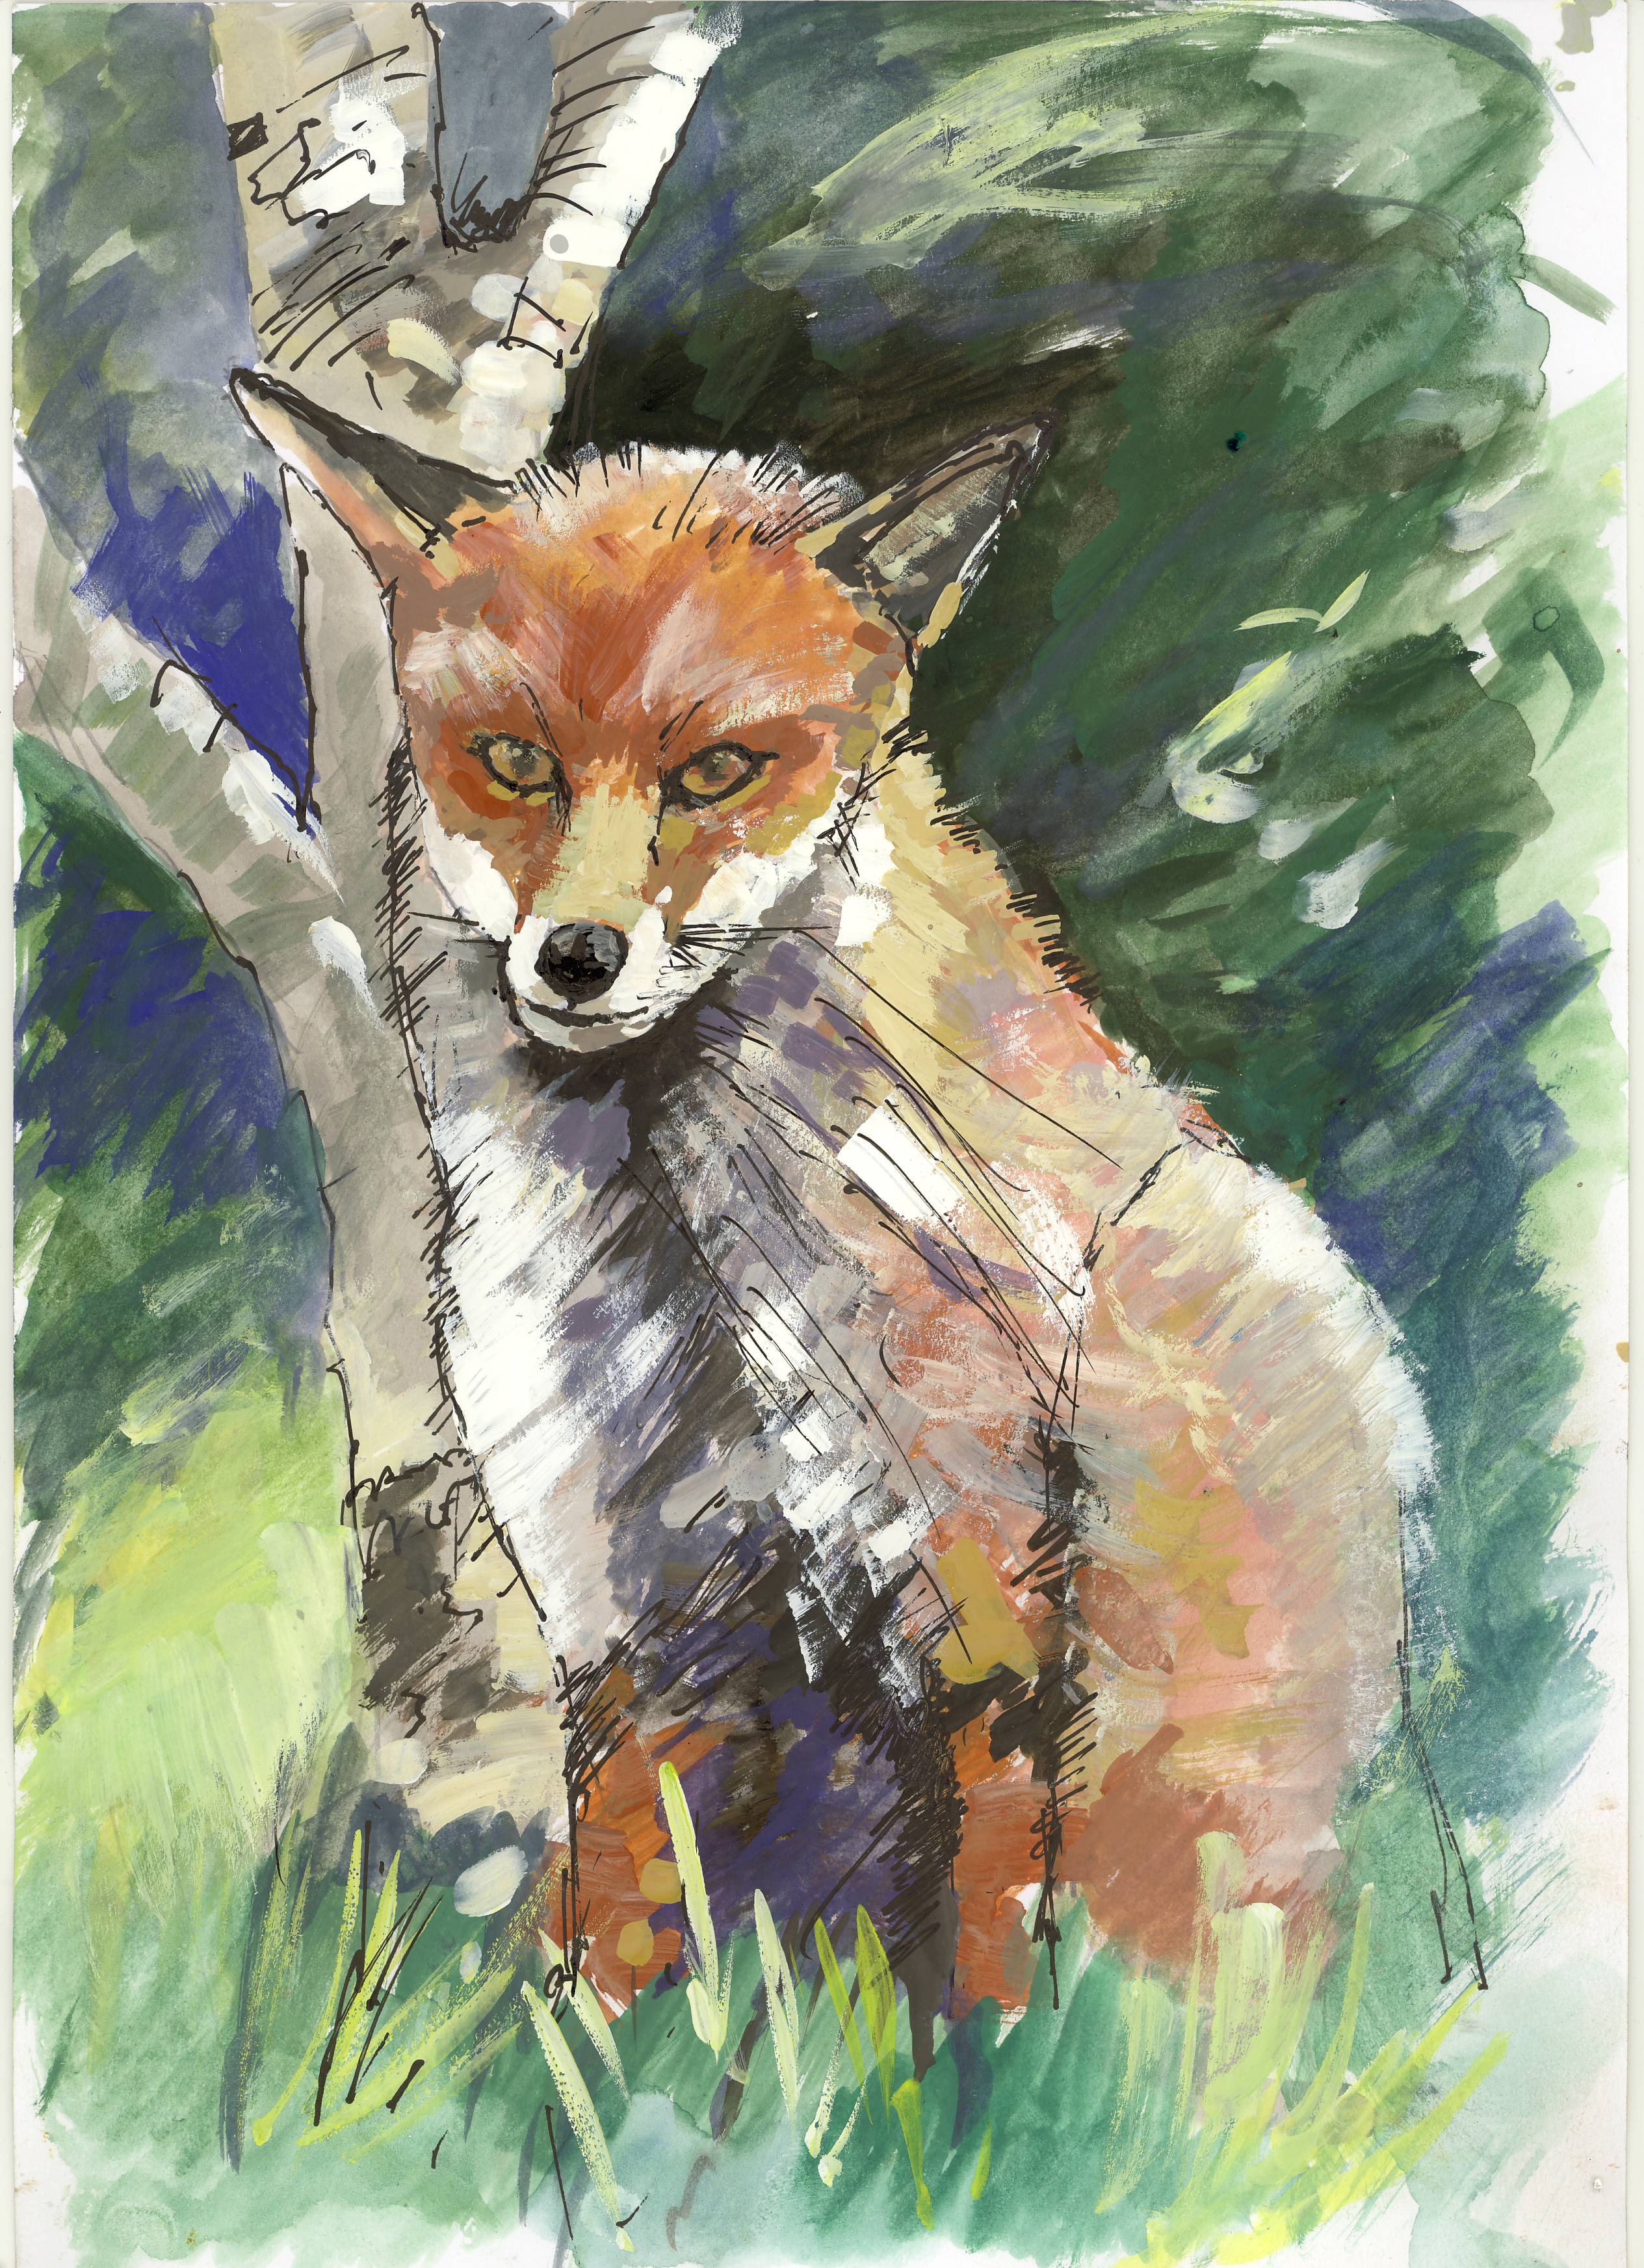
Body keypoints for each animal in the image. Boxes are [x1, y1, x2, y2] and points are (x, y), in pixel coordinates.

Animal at [228, 368, 1430, 2033]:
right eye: (516, 759)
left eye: (718, 771)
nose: (573, 961)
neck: (686, 1264)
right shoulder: (630, 1620)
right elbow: (614, 1972)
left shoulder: (977, 1596)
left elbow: (989, 1994)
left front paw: (989, 2094)